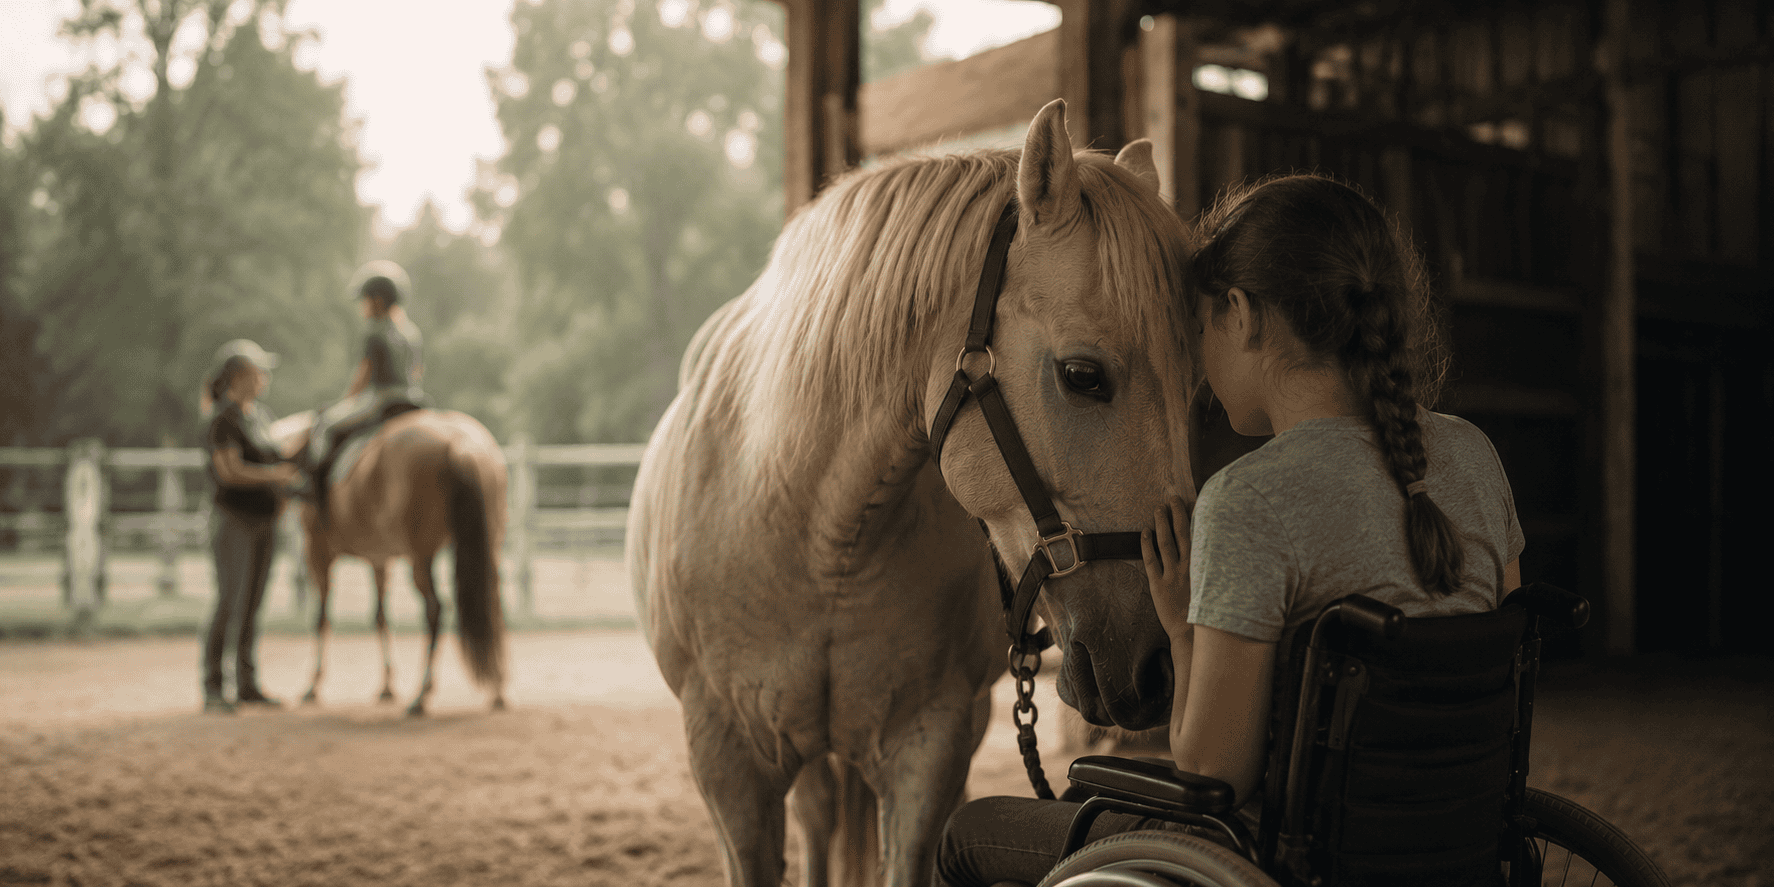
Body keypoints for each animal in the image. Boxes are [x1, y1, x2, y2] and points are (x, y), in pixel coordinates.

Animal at [271, 408, 509, 716]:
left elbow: (321, 618)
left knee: (435, 609)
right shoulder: (378, 559)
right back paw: (497, 690)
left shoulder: (318, 553)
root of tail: (459, 443)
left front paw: (313, 686)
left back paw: (421, 695)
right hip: (487, 546)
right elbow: (380, 616)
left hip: (420, 556)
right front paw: (386, 686)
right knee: (492, 604)